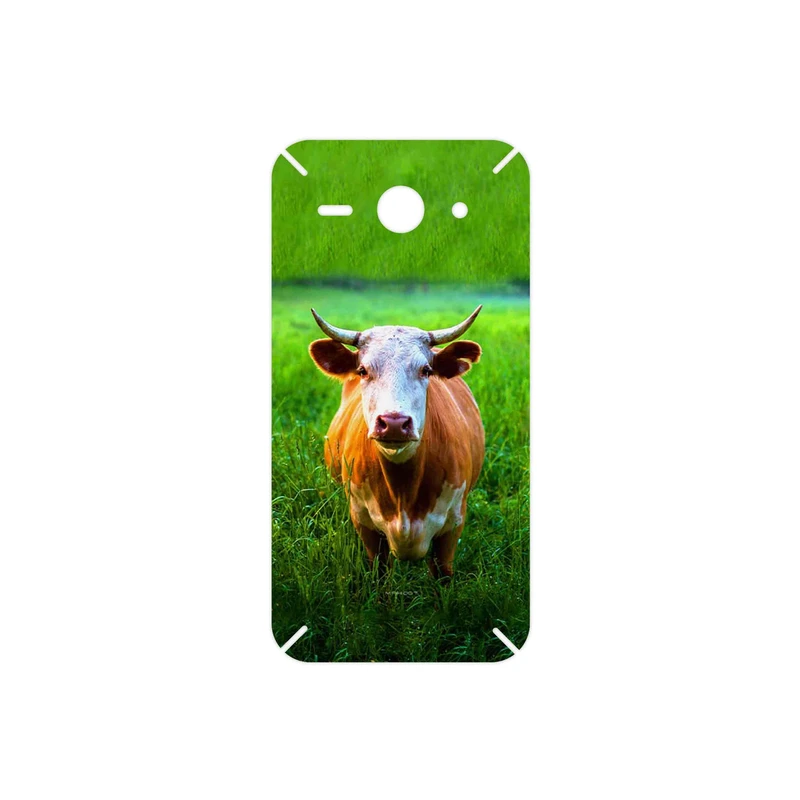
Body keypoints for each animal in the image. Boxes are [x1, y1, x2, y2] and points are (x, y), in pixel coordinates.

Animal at [308, 306, 485, 579]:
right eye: (363, 370)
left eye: (426, 370)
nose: (393, 422)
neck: (404, 492)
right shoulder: (364, 524)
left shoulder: (453, 525)